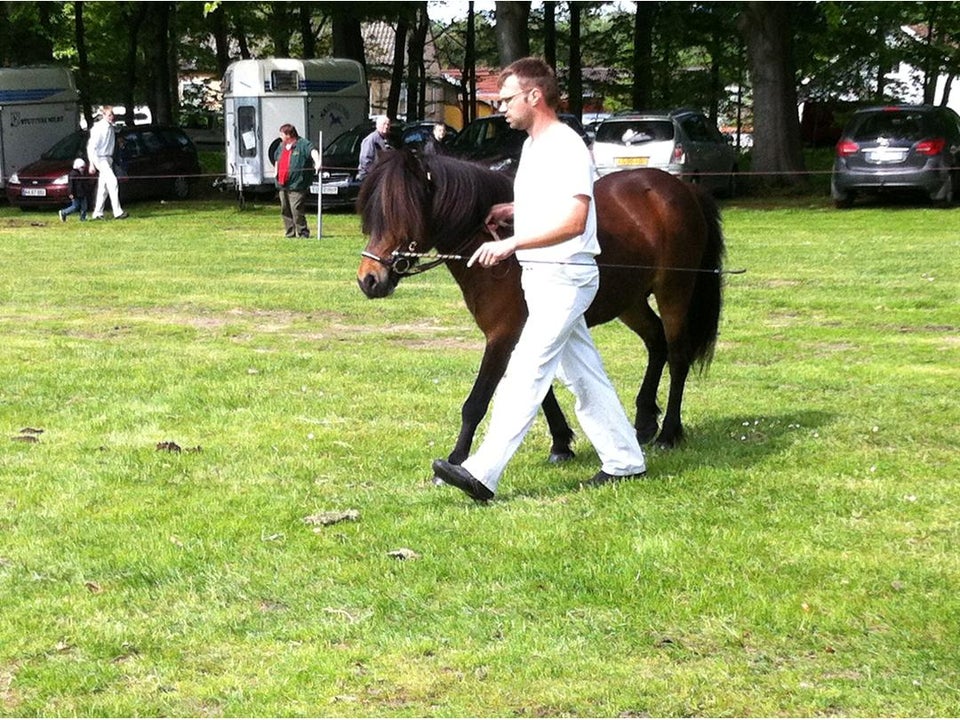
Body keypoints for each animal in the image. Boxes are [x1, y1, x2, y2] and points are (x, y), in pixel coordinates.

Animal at [356, 149, 724, 470]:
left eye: (403, 213)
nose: (369, 280)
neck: (502, 249)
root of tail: (682, 188)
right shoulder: (530, 330)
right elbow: (541, 391)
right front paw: (561, 444)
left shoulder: (502, 335)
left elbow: (477, 402)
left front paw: (455, 460)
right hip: (631, 301)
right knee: (656, 342)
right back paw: (646, 422)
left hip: (674, 291)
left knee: (678, 356)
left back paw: (668, 433)